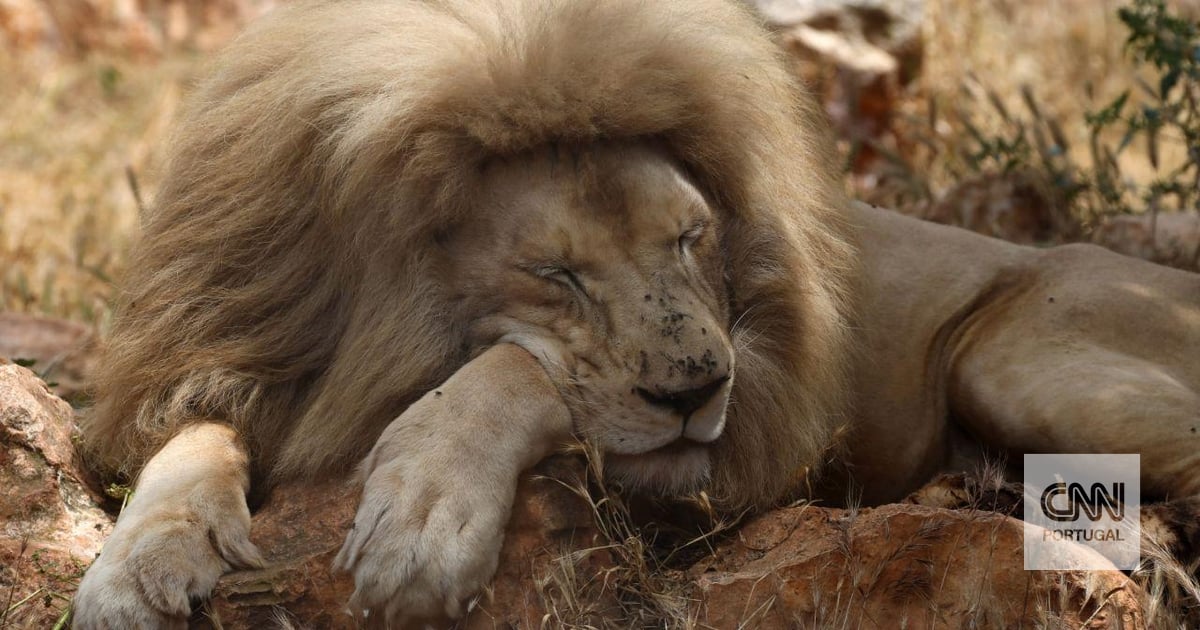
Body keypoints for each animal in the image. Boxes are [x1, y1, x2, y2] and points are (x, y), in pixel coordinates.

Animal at [71, 0, 1200, 627]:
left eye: (693, 238)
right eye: (554, 275)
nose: (700, 391)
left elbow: (516, 371)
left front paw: (425, 521)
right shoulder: (244, 345)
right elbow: (188, 439)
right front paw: (139, 563)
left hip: (1014, 362)